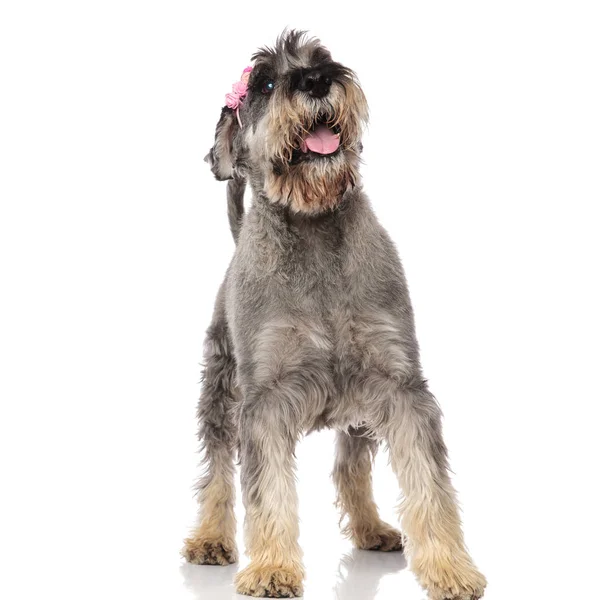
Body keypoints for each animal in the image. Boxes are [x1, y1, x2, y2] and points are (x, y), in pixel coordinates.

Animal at [180, 31, 486, 600]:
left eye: (322, 59)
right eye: (265, 83)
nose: (318, 80)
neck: (315, 225)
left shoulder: (399, 384)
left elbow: (430, 486)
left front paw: (451, 568)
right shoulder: (266, 400)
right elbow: (266, 491)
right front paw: (272, 569)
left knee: (350, 465)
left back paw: (371, 529)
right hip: (220, 387)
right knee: (217, 470)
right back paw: (210, 537)